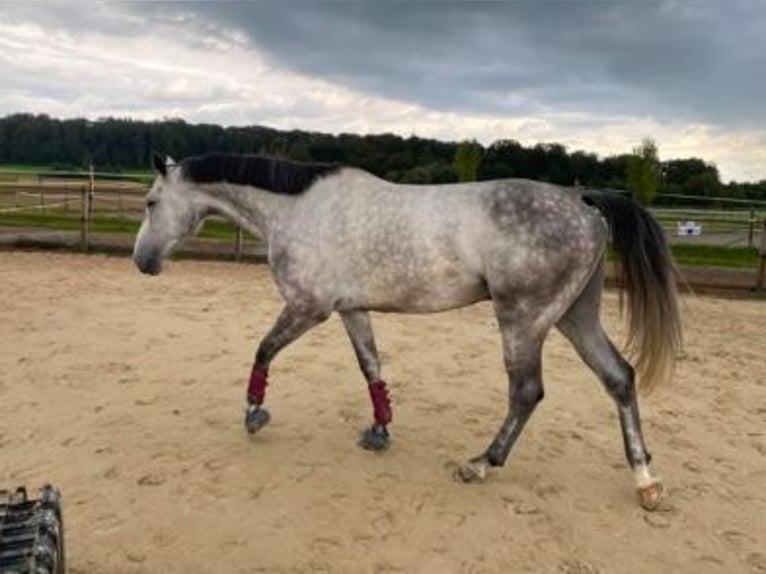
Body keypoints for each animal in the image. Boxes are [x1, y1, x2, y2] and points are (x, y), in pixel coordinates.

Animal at [134, 151, 684, 510]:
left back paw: (481, 464)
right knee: (619, 377)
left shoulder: (308, 307)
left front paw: (254, 414)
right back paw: (646, 480)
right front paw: (379, 430)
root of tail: (583, 202)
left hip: (524, 319)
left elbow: (264, 350)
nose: (143, 262)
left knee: (527, 392)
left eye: (151, 202)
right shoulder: (351, 309)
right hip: (574, 316)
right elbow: (370, 366)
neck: (299, 209)